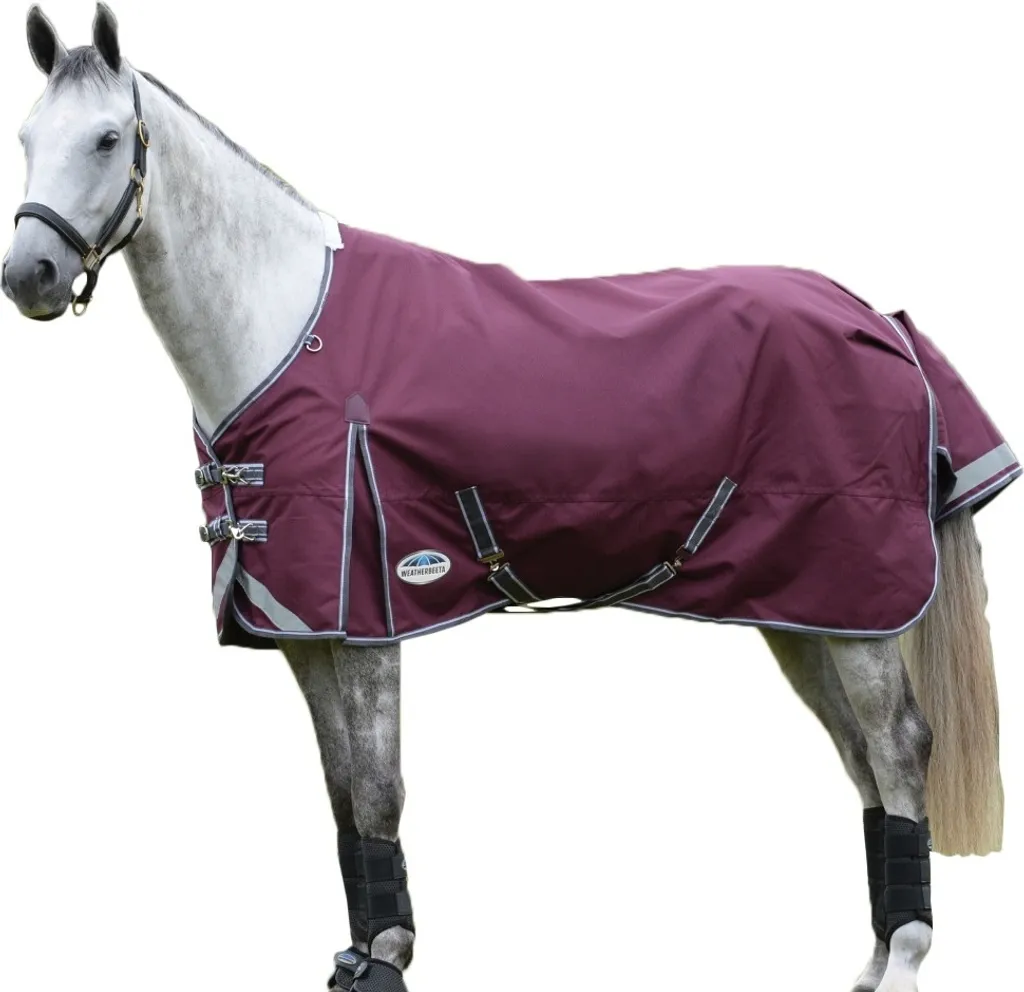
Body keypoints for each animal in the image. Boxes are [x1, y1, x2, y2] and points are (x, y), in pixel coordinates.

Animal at [3, 6, 1016, 991]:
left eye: (106, 138)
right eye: (25, 136)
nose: (28, 278)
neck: (285, 329)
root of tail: (876, 318)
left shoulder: (369, 614)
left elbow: (378, 787)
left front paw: (387, 960)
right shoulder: (306, 628)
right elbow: (340, 793)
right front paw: (357, 956)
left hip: (859, 607)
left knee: (898, 746)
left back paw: (906, 958)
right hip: (804, 609)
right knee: (861, 759)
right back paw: (874, 960)